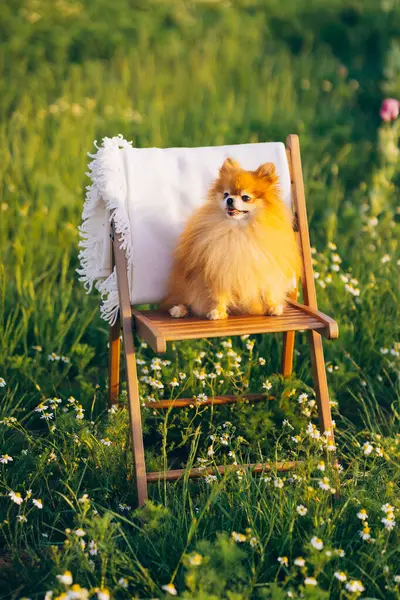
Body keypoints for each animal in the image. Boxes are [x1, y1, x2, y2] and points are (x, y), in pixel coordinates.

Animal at [162, 157, 300, 322]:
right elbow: (218, 294)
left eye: (245, 197)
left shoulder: (266, 266)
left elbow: (268, 290)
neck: (239, 230)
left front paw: (273, 307)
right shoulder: (219, 269)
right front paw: (217, 311)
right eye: (225, 194)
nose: (229, 200)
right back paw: (179, 310)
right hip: (185, 284)